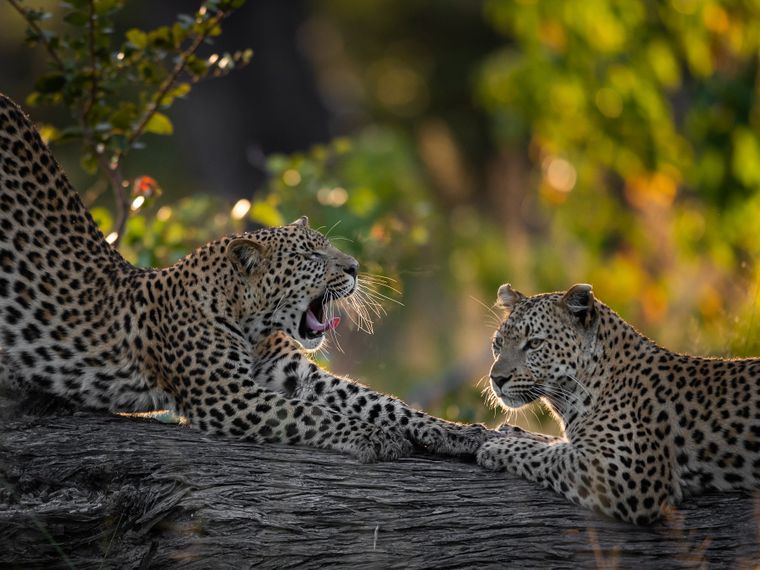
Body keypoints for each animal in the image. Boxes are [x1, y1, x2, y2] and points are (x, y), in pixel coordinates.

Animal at [0, 93, 489, 463]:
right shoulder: (228, 395)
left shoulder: (293, 373)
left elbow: (381, 402)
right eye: (312, 255)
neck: (249, 319)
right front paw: (375, 436)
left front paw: (459, 432)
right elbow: (314, 415)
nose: (354, 267)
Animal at [476, 282, 760, 524]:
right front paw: (507, 432)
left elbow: (548, 455)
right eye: (498, 343)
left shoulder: (626, 472)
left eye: (534, 343)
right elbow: (554, 443)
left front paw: (497, 446)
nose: (496, 379)